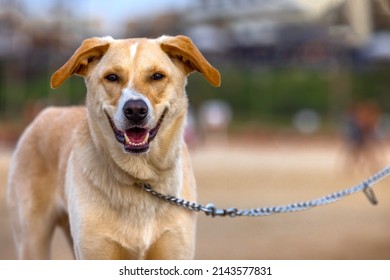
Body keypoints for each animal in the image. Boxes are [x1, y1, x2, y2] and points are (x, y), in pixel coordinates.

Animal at [6, 35, 221, 260]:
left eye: (157, 76)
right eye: (112, 77)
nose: (135, 110)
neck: (140, 178)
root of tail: (46, 112)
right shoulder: (95, 251)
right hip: (32, 241)